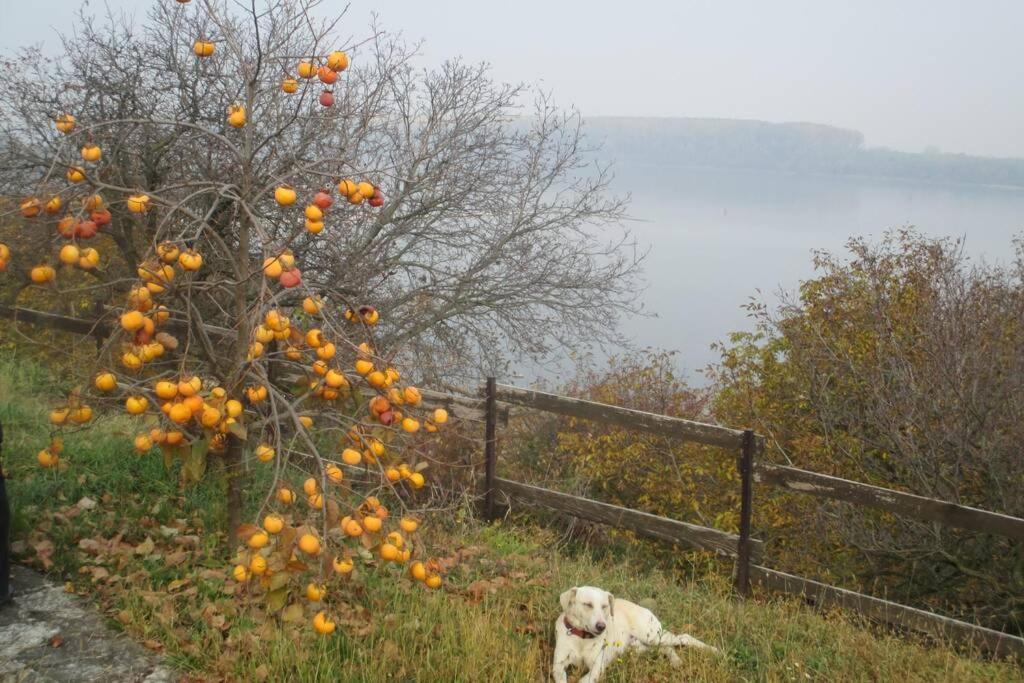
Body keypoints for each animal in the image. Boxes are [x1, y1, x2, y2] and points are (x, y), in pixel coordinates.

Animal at [552, 581, 720, 683]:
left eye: (605, 606)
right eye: (587, 604)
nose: (602, 626)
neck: (582, 639)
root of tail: (641, 607)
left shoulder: (597, 667)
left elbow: (585, 679)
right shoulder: (558, 666)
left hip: (652, 636)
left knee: (684, 638)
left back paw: (713, 650)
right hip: (640, 647)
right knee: (666, 648)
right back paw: (676, 661)